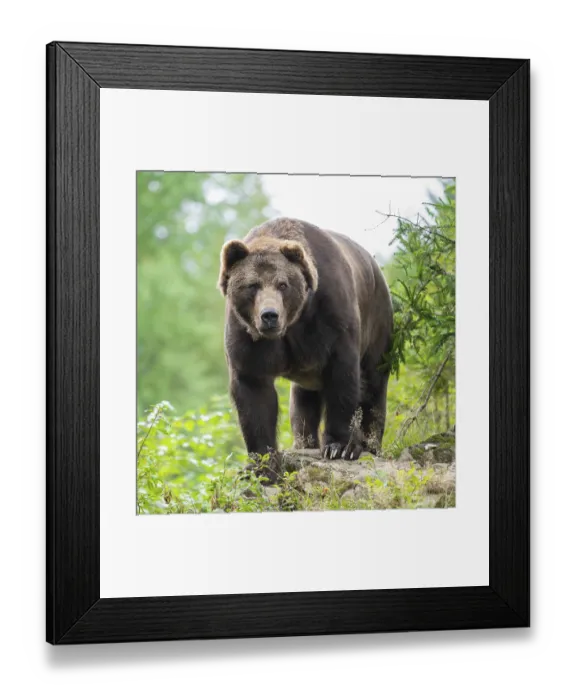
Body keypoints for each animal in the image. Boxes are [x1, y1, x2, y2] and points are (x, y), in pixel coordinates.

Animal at [218, 217, 393, 482]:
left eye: (283, 284)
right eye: (252, 285)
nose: (269, 315)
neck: (292, 325)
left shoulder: (331, 321)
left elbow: (342, 377)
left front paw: (338, 447)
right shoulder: (247, 338)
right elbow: (254, 395)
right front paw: (262, 466)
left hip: (378, 321)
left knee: (373, 384)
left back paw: (367, 444)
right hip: (307, 373)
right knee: (302, 402)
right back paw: (305, 443)